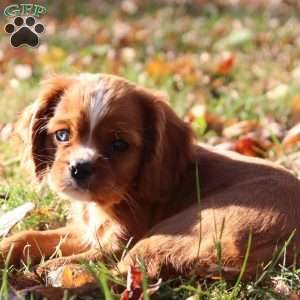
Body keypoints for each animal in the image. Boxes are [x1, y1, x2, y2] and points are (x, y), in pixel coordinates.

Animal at [1, 74, 300, 280]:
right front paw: (5, 249)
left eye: (119, 144)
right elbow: (29, 237)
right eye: (62, 135)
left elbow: (74, 259)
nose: (79, 168)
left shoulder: (117, 244)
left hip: (171, 231)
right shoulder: (88, 232)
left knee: (121, 274)